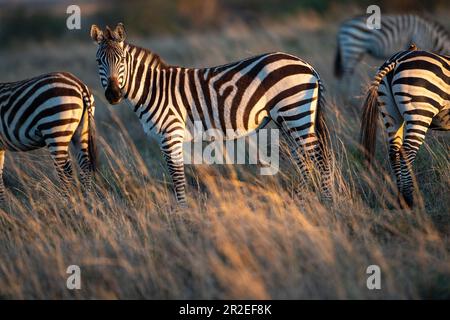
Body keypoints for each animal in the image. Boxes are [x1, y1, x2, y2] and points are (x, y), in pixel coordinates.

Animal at [0, 72, 97, 202]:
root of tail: (79, 85)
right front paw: (4, 203)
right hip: (82, 133)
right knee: (85, 166)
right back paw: (88, 201)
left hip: (55, 129)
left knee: (66, 172)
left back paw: (63, 203)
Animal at [89, 23, 332, 206]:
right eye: (99, 61)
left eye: (122, 60)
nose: (113, 95)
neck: (153, 89)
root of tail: (307, 65)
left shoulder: (170, 134)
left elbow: (177, 178)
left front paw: (182, 215)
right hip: (290, 118)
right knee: (305, 159)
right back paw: (305, 200)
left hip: (295, 112)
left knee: (319, 157)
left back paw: (327, 202)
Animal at [360, 45, 448, 208]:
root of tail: (397, 60)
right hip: (420, 110)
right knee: (407, 151)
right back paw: (408, 201)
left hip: (390, 112)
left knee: (394, 152)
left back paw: (400, 199)